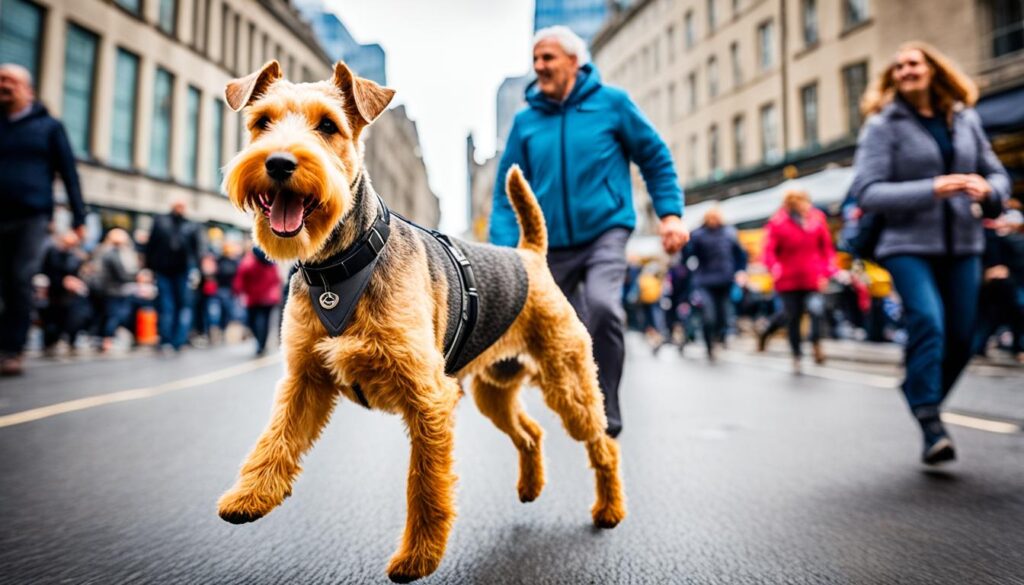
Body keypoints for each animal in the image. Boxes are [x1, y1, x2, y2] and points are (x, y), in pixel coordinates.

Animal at [218, 61, 622, 581]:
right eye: (261, 122)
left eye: (328, 125)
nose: (280, 163)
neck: (341, 266)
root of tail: (529, 256)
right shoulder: (305, 377)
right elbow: (276, 438)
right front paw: (250, 497)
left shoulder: (428, 397)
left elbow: (425, 485)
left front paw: (418, 558)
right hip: (494, 390)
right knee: (531, 433)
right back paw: (530, 488)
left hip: (568, 384)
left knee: (602, 444)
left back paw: (609, 510)